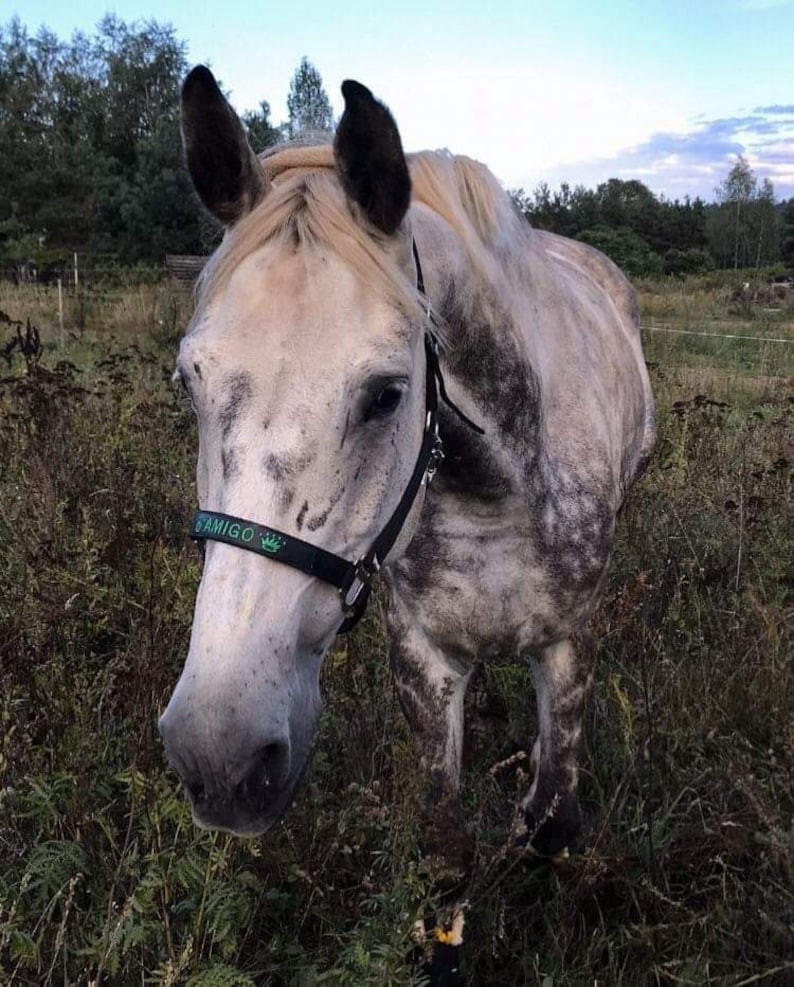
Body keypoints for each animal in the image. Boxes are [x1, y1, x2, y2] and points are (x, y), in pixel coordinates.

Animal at [159, 67, 655, 877]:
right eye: (187, 381)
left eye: (387, 393)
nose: (220, 756)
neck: (495, 497)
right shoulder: (422, 658)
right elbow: (444, 835)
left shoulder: (568, 645)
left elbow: (551, 810)